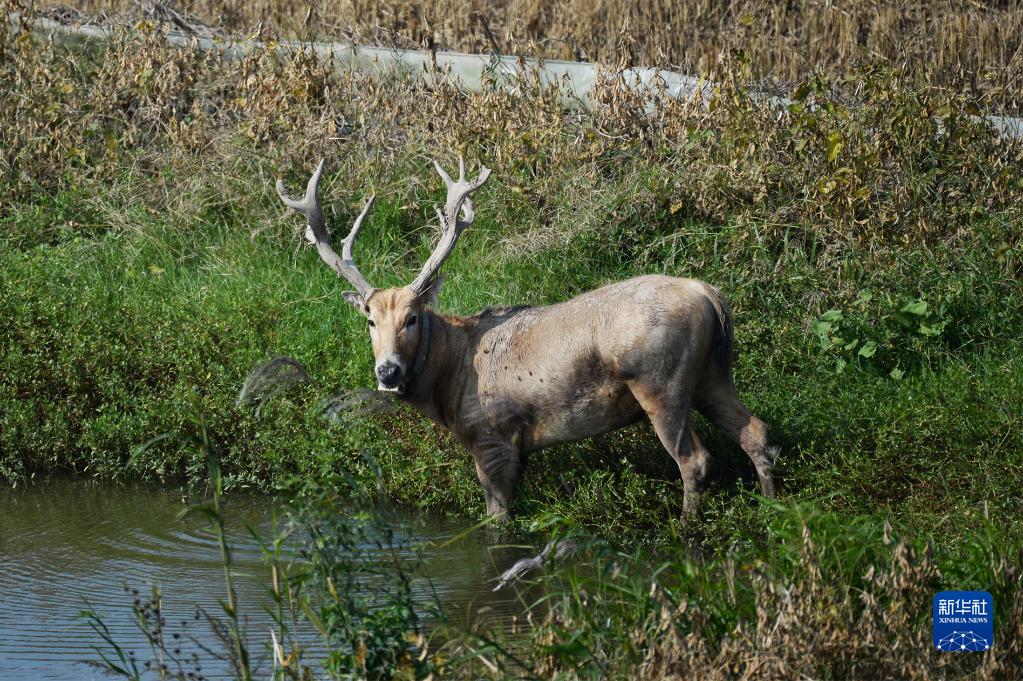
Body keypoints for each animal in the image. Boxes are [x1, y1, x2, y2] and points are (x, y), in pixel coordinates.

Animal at [276, 159, 777, 519]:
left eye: (413, 318)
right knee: (757, 432)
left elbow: (496, 520)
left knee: (695, 459)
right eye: (369, 320)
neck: (449, 384)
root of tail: (711, 295)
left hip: (660, 381)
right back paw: (773, 508)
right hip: (712, 376)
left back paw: (689, 526)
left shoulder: (492, 437)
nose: (388, 371)